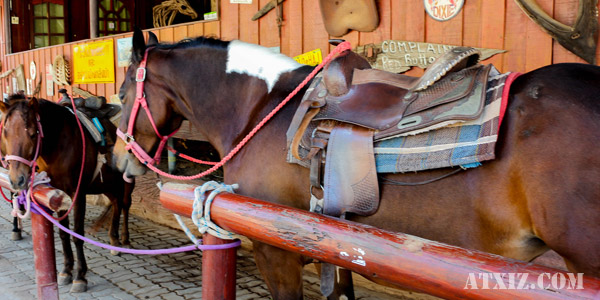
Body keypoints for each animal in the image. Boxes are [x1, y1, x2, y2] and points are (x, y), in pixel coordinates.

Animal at [0, 96, 134, 292]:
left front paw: (80, 277)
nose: (18, 179)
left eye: (32, 133)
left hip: (126, 181)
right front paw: (66, 271)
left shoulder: (78, 194)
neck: (60, 145)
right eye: (5, 133)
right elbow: (63, 234)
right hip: (107, 184)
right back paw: (114, 240)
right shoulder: (59, 196)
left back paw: (124, 239)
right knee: (117, 203)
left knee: (125, 204)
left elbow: (77, 234)